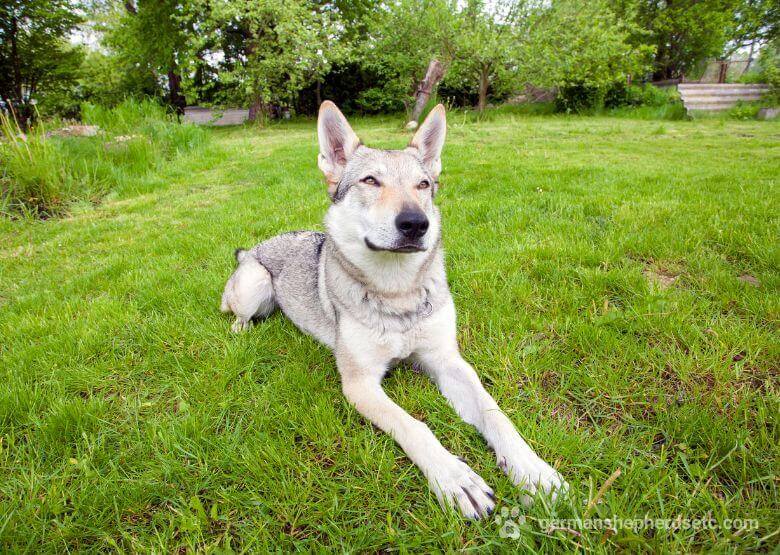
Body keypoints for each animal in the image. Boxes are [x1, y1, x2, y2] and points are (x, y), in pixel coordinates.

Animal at [221, 102, 568, 520]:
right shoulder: (360, 384)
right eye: (370, 181)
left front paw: (533, 470)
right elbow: (415, 426)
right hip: (255, 285)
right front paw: (455, 479)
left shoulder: (448, 361)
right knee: (236, 313)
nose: (416, 223)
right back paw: (242, 332)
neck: (397, 291)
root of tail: (256, 246)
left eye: (423, 185)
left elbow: (494, 413)